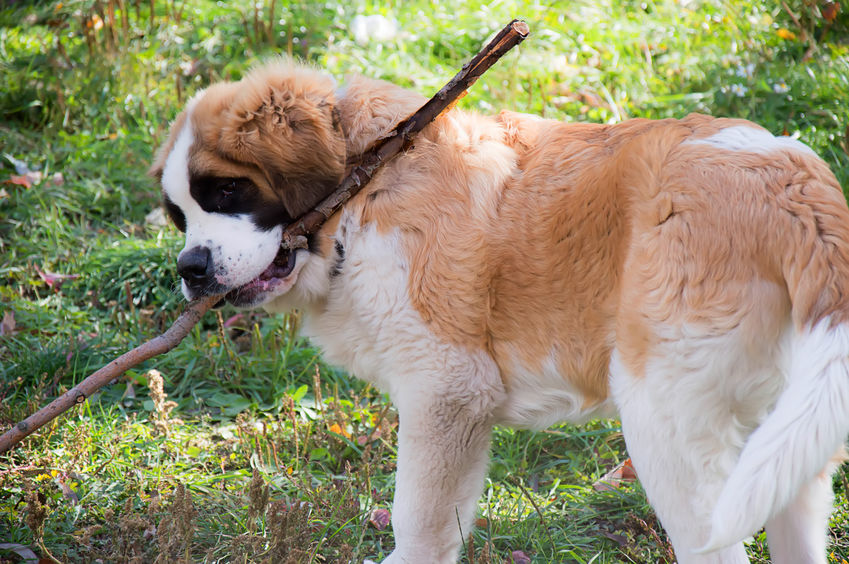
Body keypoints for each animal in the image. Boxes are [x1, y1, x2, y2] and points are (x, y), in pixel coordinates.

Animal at [149, 59, 848, 560]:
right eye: (180, 215)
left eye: (229, 190)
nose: (190, 269)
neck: (364, 193)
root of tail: (793, 182)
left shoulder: (446, 390)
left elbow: (420, 520)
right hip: (787, 440)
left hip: (665, 425)